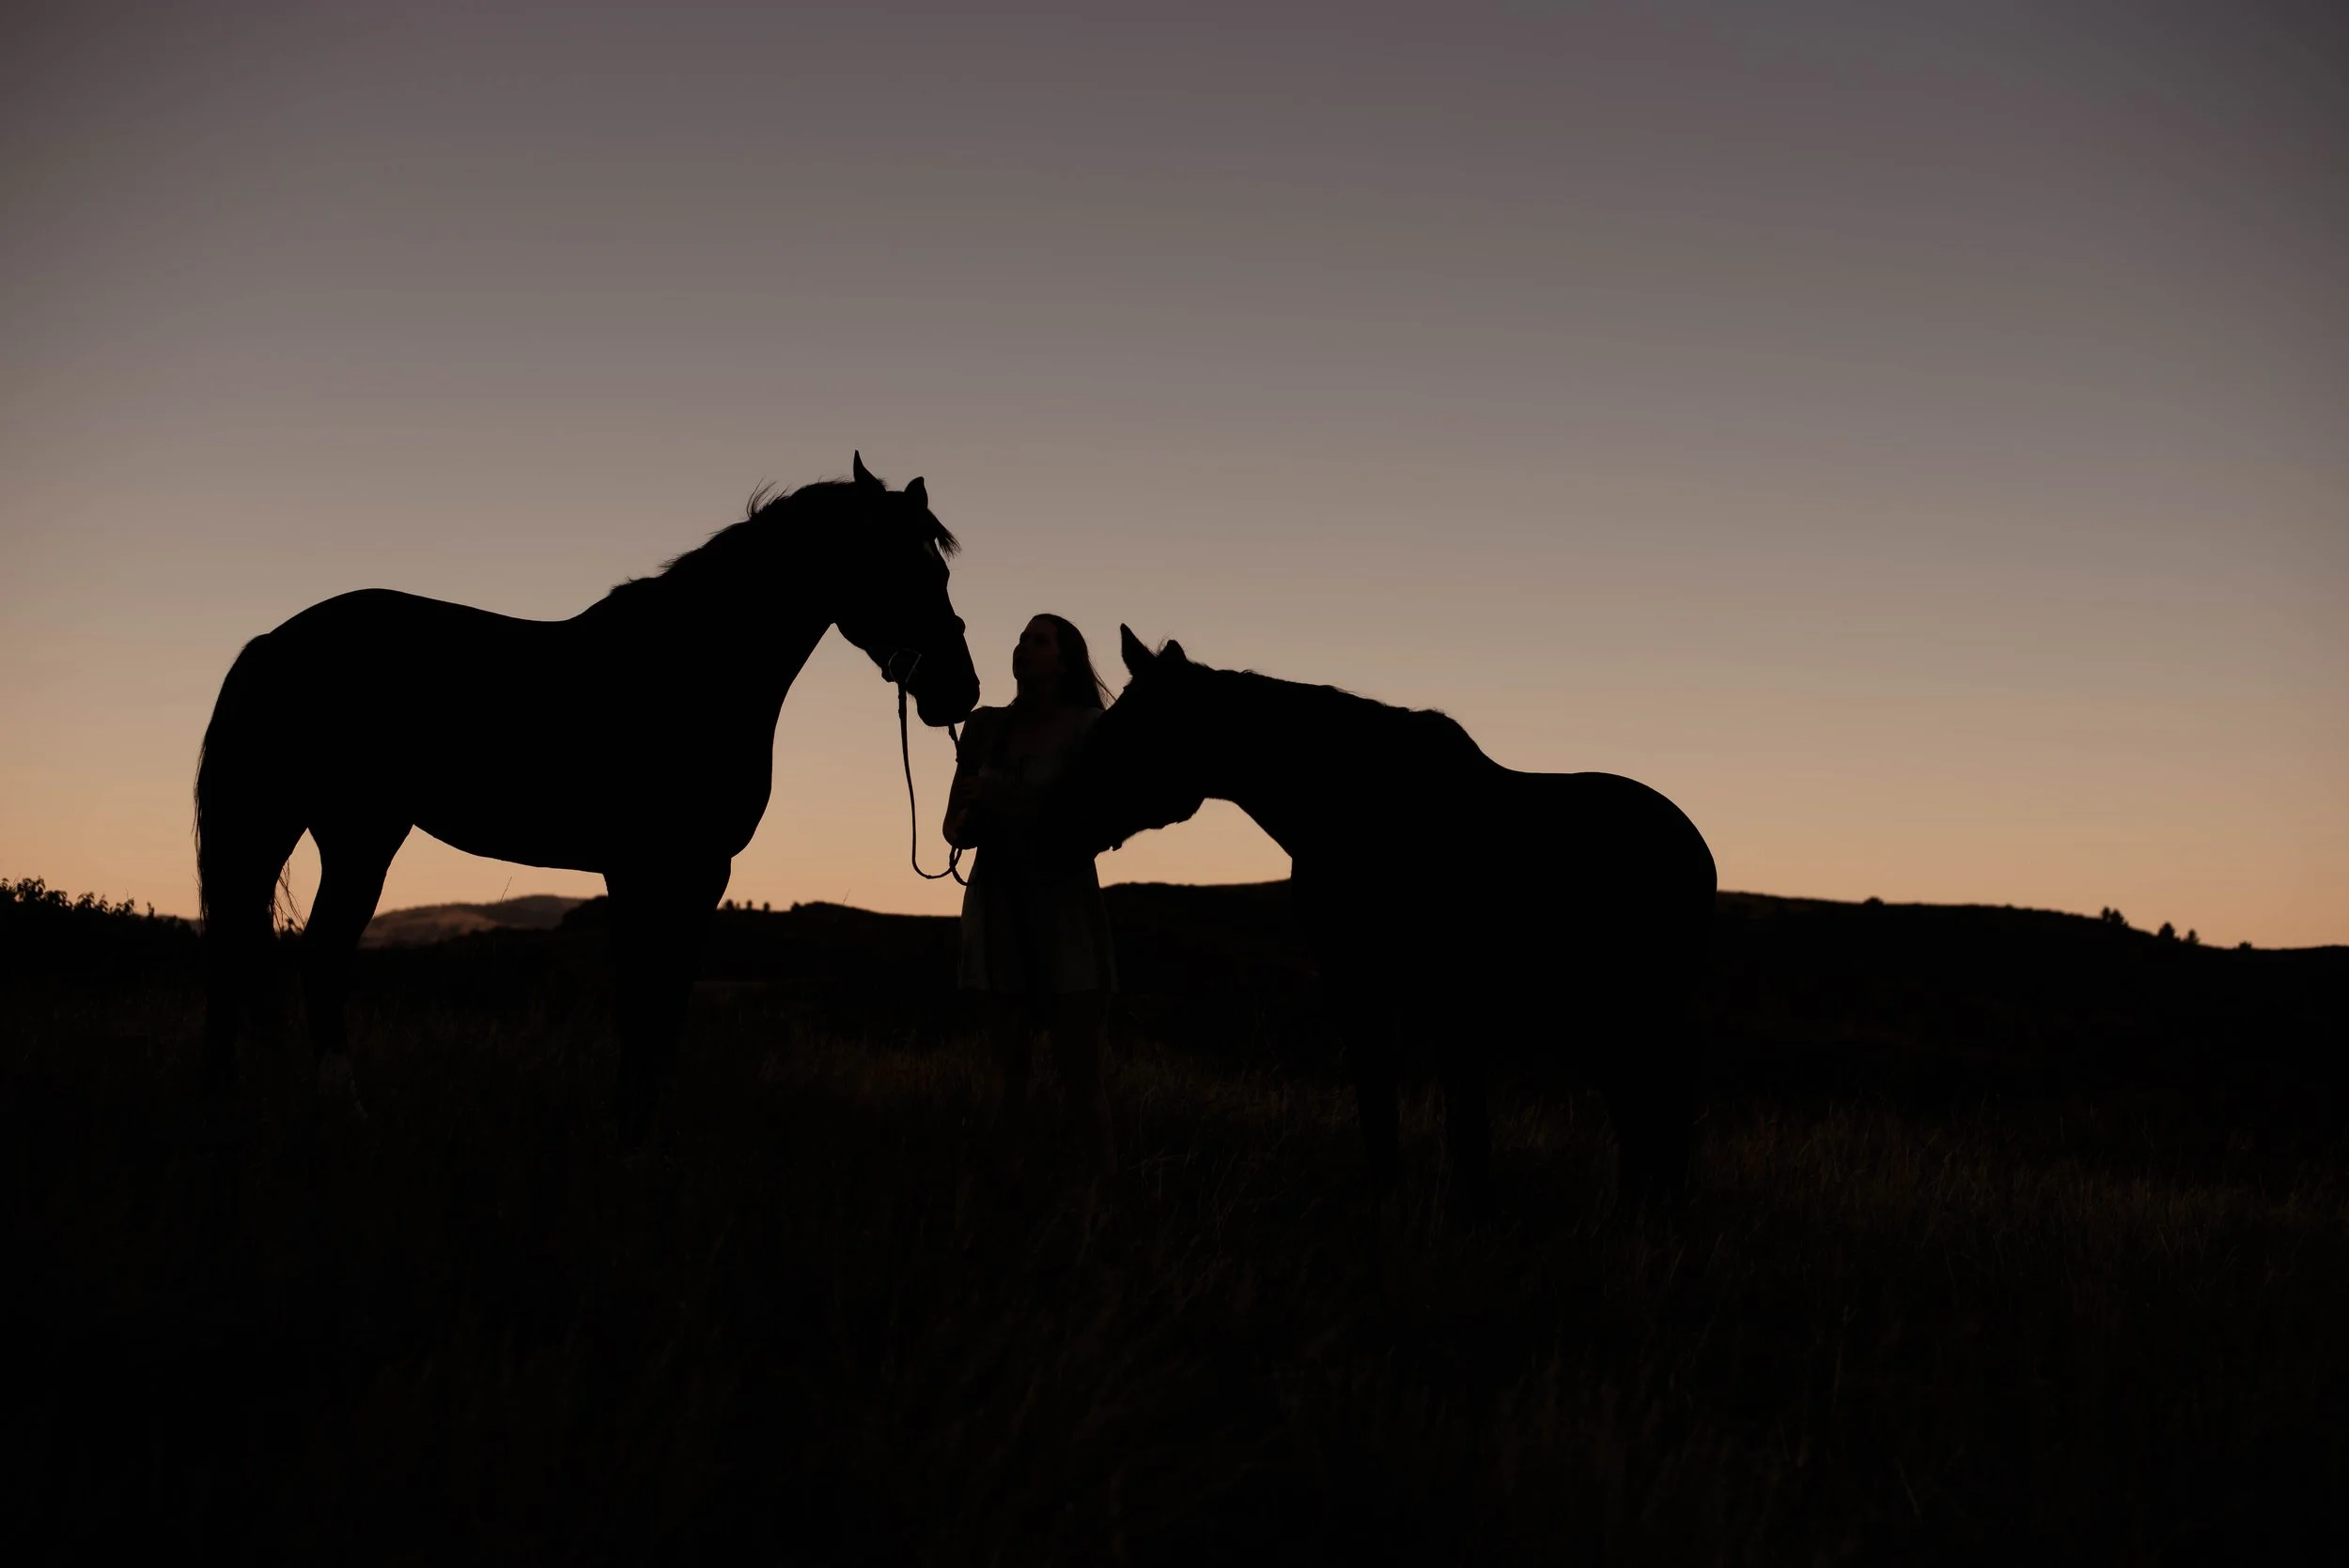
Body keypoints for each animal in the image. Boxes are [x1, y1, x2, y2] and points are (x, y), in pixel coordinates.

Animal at [194, 454, 979, 1141]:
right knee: (314, 954)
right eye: (905, 567)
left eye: (941, 569)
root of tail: (273, 641)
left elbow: (655, 1000)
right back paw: (339, 1113)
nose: (960, 690)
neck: (692, 668)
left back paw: (238, 1102)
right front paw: (633, 1126)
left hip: (300, 828)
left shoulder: (664, 873)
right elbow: (651, 999)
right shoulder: (667, 869)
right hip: (350, 833)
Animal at [1058, 628, 1717, 1212]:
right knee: (1639, 1115)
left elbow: (1442, 1118)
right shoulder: (1387, 991)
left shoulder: (1416, 991)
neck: (1357, 804)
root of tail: (1693, 845)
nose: (1061, 813)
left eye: (1130, 731)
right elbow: (1395, 1107)